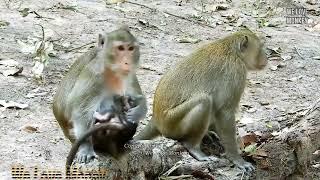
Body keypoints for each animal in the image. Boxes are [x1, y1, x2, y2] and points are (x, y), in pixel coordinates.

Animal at [52, 25, 148, 165]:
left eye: (130, 48)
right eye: (120, 48)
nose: (127, 62)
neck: (111, 71)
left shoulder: (129, 74)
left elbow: (139, 98)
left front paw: (137, 111)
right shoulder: (94, 76)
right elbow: (80, 111)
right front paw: (86, 148)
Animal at [135, 28, 268, 172]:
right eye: (261, 47)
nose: (266, 57)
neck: (233, 51)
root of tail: (155, 118)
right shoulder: (236, 73)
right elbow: (225, 112)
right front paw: (237, 159)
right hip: (171, 124)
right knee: (204, 101)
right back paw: (193, 147)